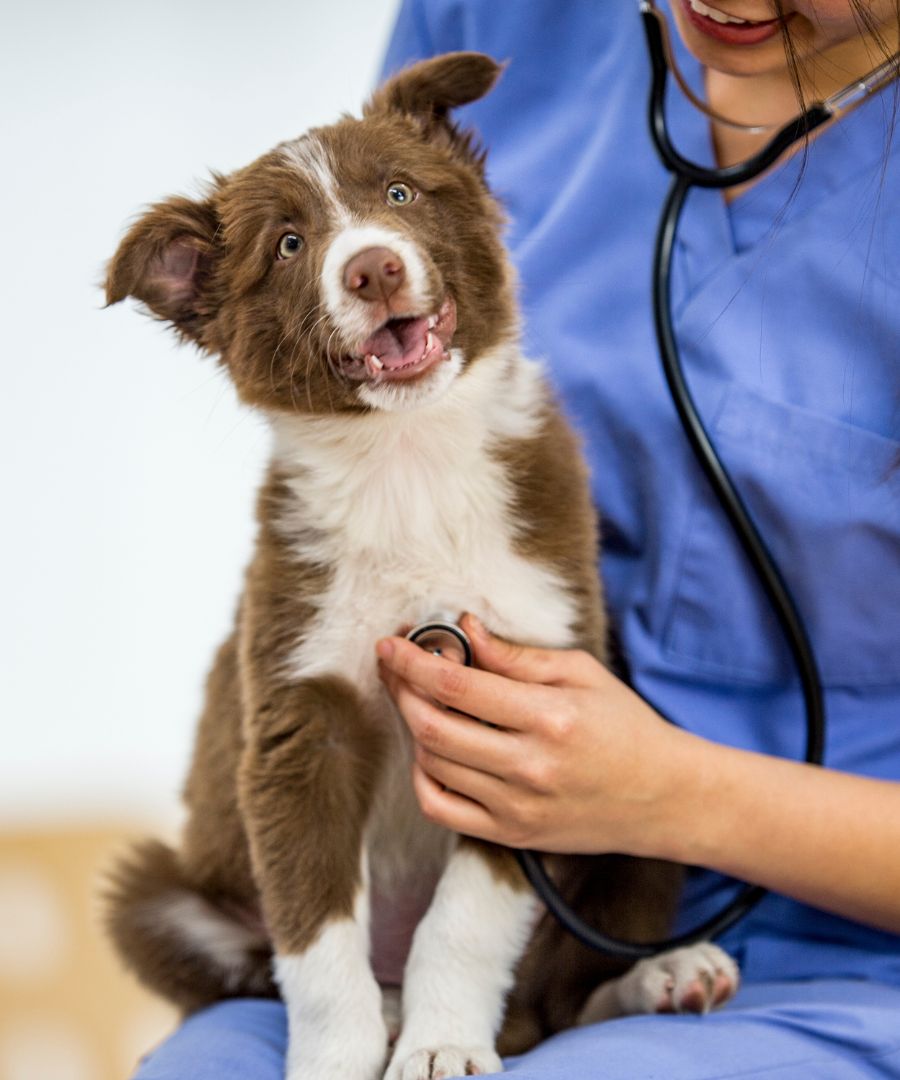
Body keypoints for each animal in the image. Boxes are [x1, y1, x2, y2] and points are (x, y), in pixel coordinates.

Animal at [105, 48, 739, 1080]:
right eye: (289, 245)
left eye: (400, 192)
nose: (373, 266)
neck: (407, 464)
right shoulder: (302, 717)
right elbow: (317, 938)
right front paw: (338, 1059)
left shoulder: (523, 707)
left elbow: (468, 918)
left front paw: (445, 1045)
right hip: (155, 893)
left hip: (649, 799)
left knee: (559, 999)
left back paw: (661, 977)